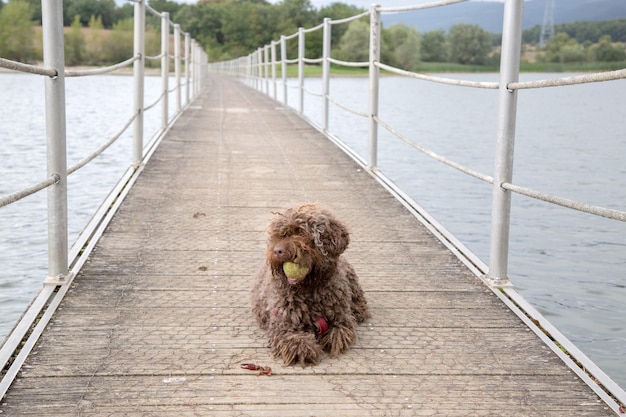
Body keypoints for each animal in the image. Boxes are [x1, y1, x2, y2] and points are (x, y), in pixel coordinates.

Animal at [250, 203, 368, 366]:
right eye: (280, 235)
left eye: (301, 232)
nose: (277, 251)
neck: (310, 290)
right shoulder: (283, 324)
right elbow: (295, 341)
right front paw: (307, 349)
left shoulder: (341, 317)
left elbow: (340, 330)